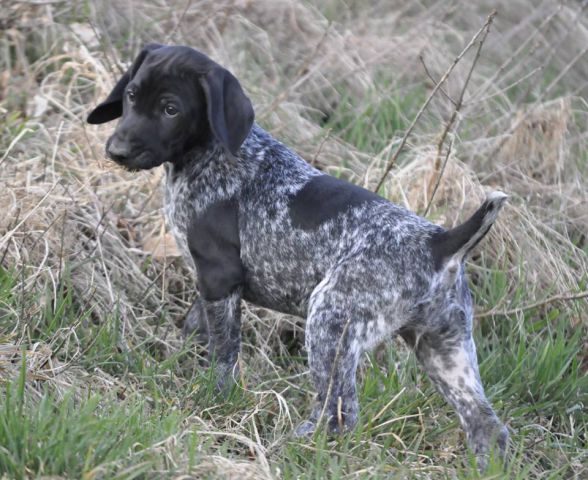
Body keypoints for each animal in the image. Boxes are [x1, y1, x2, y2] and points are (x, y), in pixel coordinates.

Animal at [88, 44, 510, 468]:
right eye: (131, 96)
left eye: (171, 109)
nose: (116, 151)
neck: (210, 157)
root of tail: (439, 242)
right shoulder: (208, 284)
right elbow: (197, 330)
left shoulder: (220, 277)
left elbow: (224, 353)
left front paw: (214, 397)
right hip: (446, 350)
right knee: (487, 425)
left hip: (330, 320)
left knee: (339, 413)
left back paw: (291, 446)